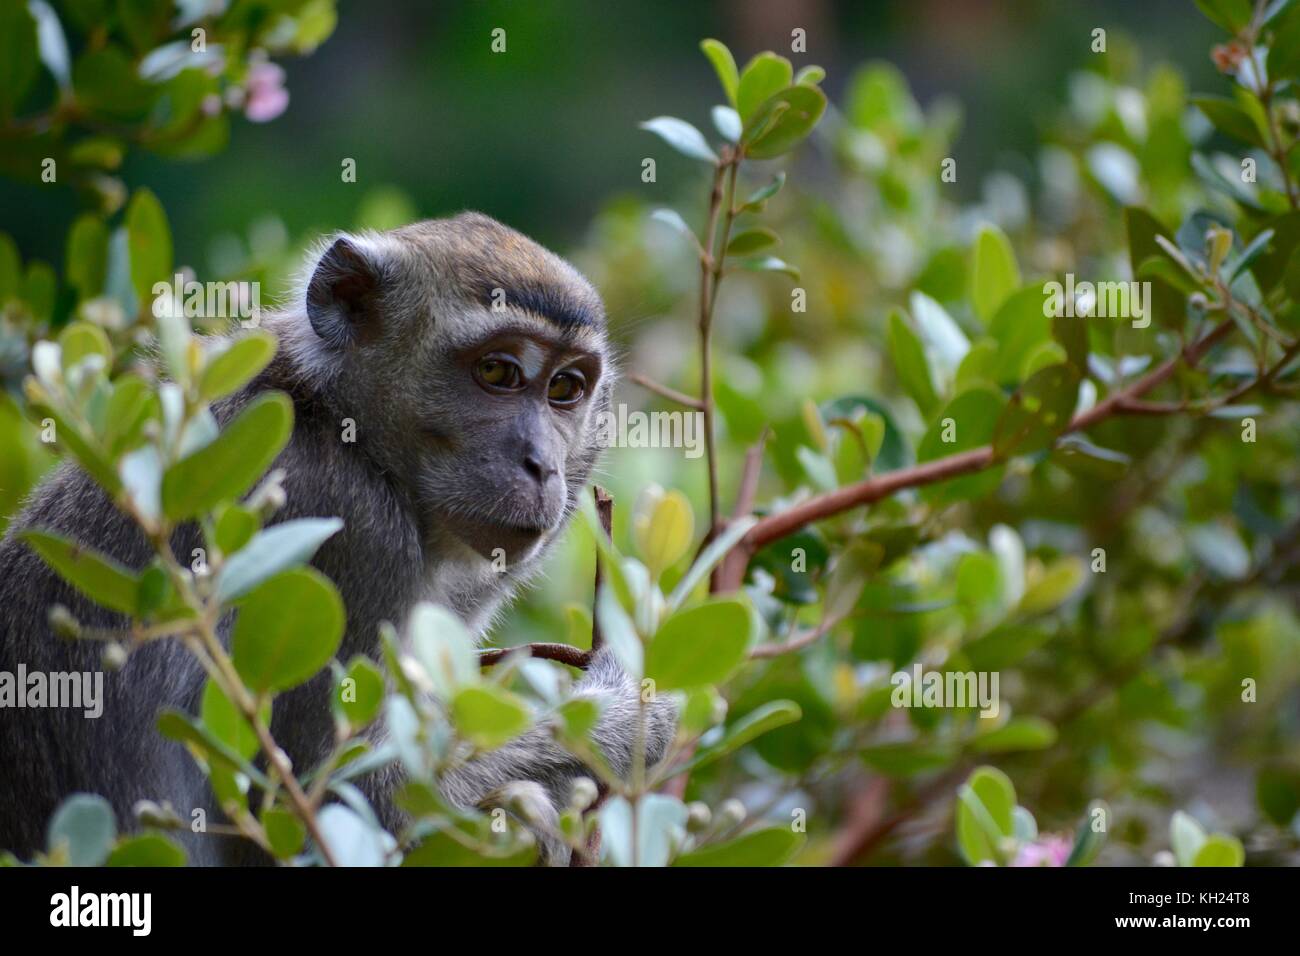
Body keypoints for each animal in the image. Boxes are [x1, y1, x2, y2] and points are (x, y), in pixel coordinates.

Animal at [0, 210, 676, 868]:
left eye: (565, 388)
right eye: (497, 372)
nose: (542, 466)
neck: (344, 428)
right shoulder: (346, 529)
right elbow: (327, 806)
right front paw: (625, 721)